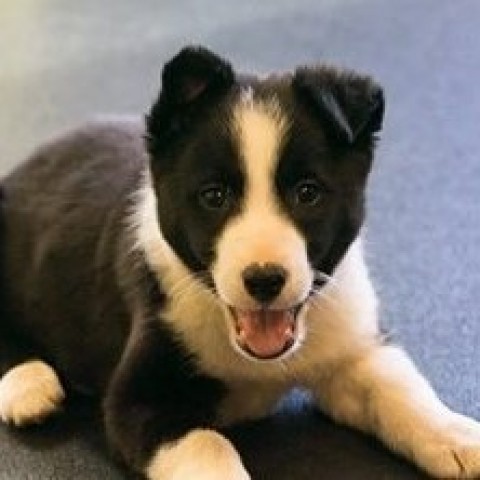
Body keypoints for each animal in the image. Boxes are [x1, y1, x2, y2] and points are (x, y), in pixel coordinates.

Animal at [1, 45, 480, 480]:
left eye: (308, 192)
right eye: (214, 196)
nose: (264, 280)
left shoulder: (352, 344)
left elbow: (399, 388)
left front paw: (457, 436)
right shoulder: (138, 399)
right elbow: (208, 445)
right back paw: (28, 385)